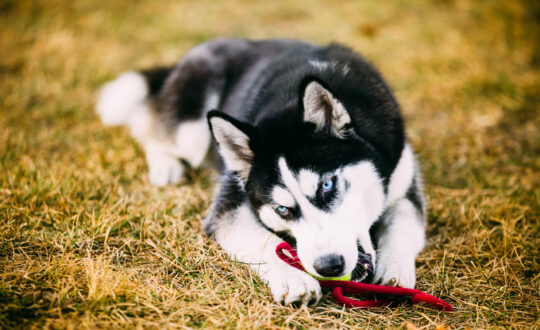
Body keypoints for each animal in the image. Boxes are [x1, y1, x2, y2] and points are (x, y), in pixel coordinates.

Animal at [97, 38, 426, 306]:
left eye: (327, 186)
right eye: (282, 209)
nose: (328, 266)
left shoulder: (404, 184)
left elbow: (402, 225)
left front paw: (395, 270)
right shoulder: (230, 204)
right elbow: (265, 241)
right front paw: (294, 278)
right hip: (191, 130)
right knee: (148, 125)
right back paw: (165, 164)